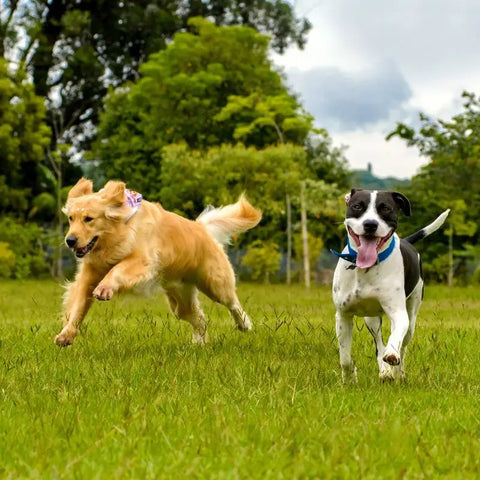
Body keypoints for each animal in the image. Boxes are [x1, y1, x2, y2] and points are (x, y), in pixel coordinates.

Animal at [330, 189, 450, 380]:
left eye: (385, 208)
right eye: (357, 206)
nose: (370, 224)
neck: (366, 268)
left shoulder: (398, 313)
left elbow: (395, 342)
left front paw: (392, 357)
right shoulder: (343, 315)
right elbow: (345, 359)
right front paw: (349, 378)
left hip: (412, 316)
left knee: (403, 344)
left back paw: (397, 372)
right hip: (371, 319)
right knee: (379, 344)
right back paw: (385, 370)